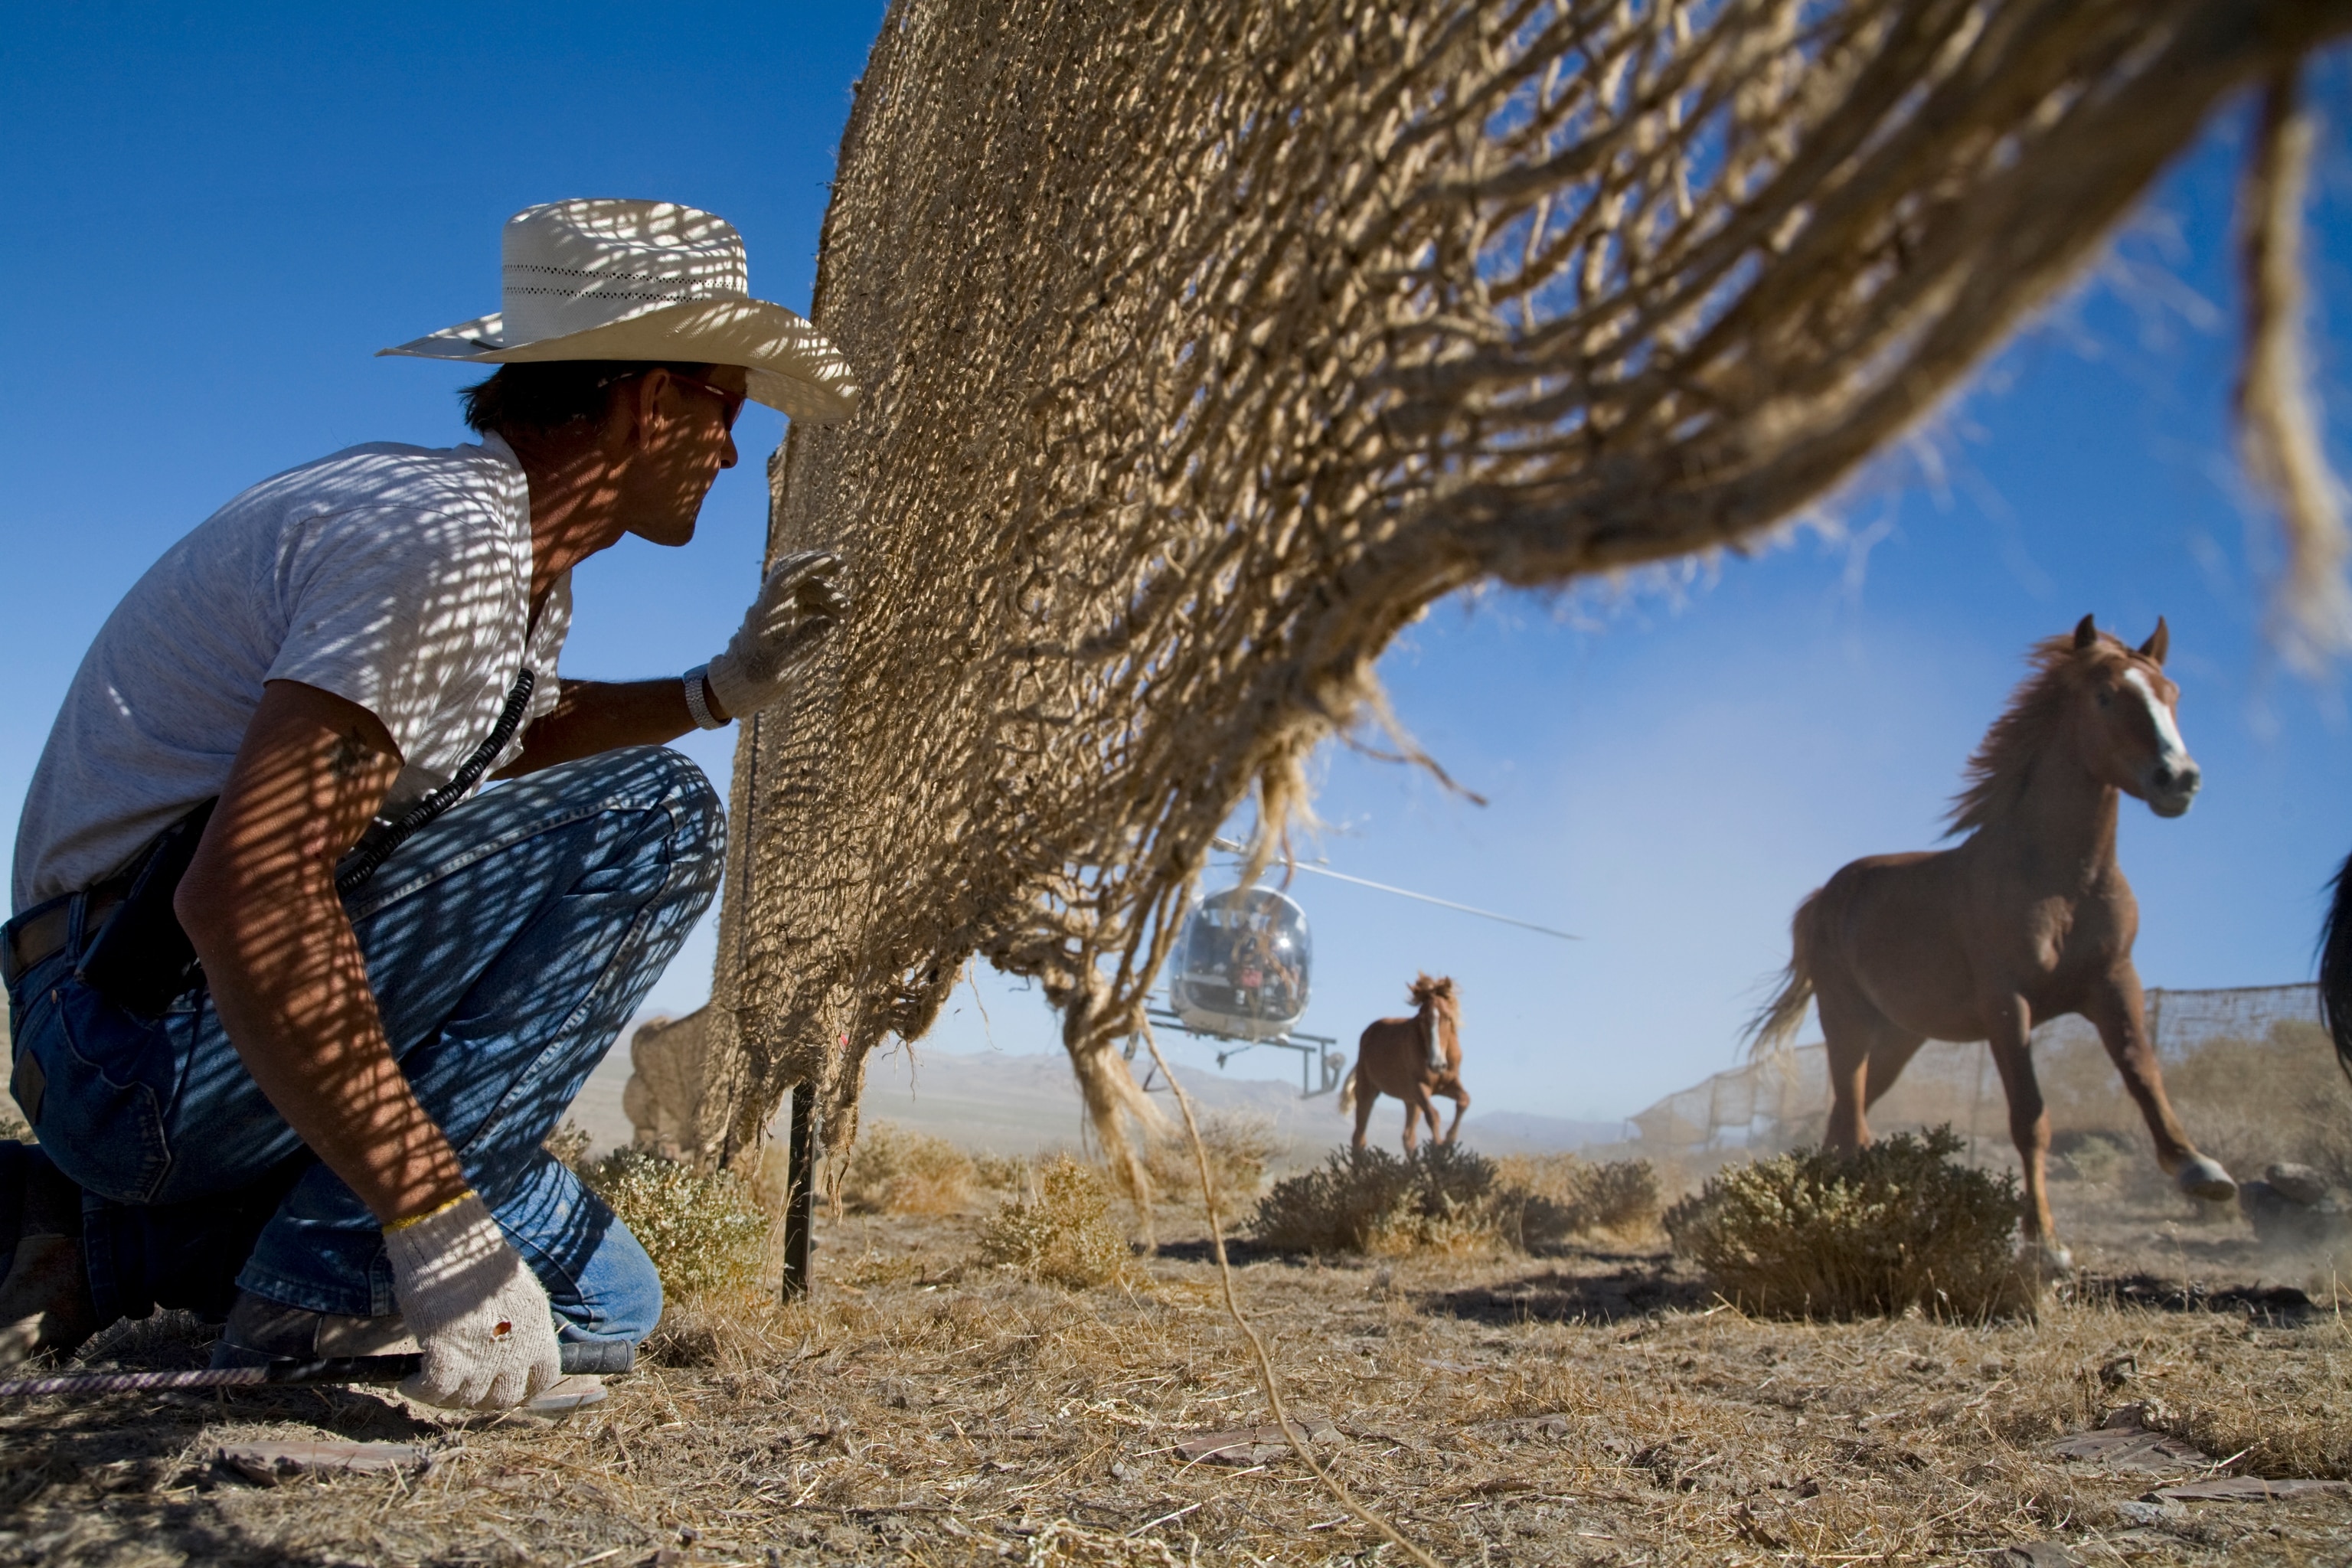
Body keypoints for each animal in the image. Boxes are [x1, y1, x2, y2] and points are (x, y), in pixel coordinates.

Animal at [1345, 973, 1467, 1161]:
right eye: (1422, 1019)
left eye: (1447, 1017)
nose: (1436, 1065)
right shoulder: (1419, 1088)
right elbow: (1433, 1116)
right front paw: (1439, 1150)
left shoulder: (1448, 1084)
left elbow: (1464, 1101)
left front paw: (1447, 1142)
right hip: (1367, 1092)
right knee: (1358, 1138)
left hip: (1410, 1101)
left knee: (1408, 1137)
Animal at [1759, 616, 2230, 1279]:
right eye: (2106, 695)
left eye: (2174, 694)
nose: (2179, 779)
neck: (2061, 881)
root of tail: (1824, 897)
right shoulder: (2009, 1003)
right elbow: (2030, 1117)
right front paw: (2045, 1243)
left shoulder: (2116, 982)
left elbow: (2143, 1071)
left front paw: (2199, 1168)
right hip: (1846, 1021)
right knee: (1850, 1118)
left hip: (1899, 1039)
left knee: (1844, 1120)